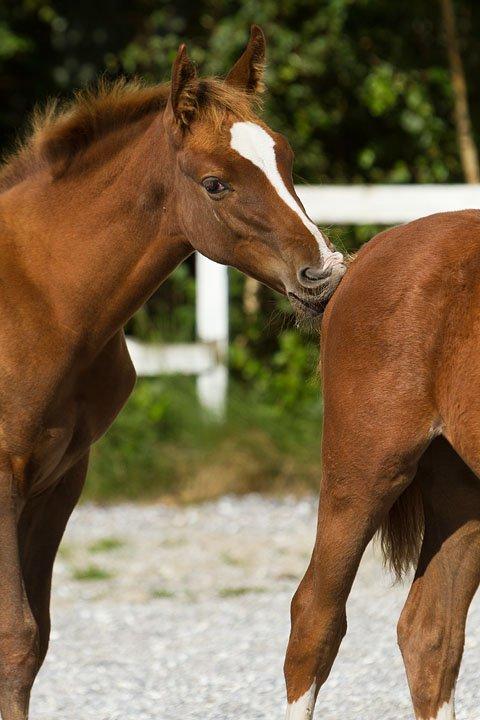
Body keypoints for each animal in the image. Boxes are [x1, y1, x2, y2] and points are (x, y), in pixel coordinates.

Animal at [0, 28, 344, 720]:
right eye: (215, 184)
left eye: (286, 159)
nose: (323, 275)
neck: (39, 298)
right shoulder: (2, 476)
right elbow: (14, 636)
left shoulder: (60, 480)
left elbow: (34, 641)